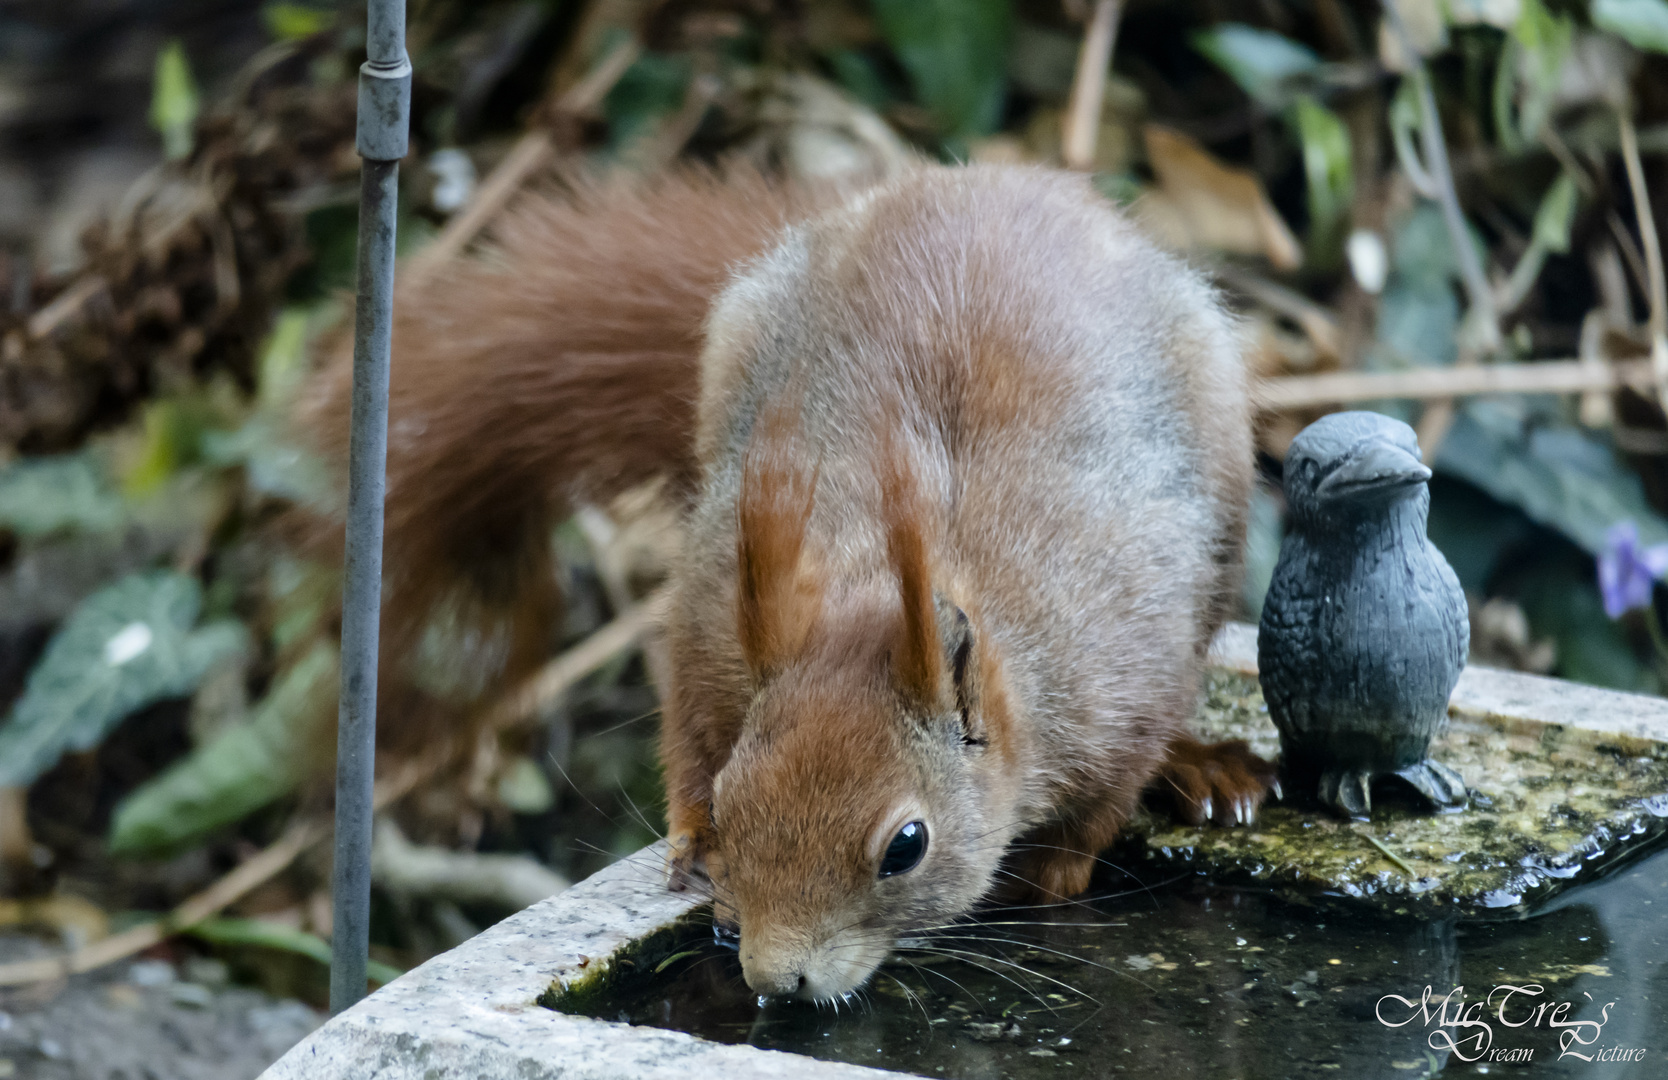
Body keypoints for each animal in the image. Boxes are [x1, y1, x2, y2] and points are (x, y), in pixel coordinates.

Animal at [300, 162, 1274, 1008]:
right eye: (737, 800)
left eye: (906, 847)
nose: (774, 977)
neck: (892, 584)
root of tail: (998, 176)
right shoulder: (710, 619)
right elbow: (689, 732)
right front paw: (697, 845)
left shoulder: (1125, 677)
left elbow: (1095, 816)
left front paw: (1040, 880)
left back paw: (1205, 769)